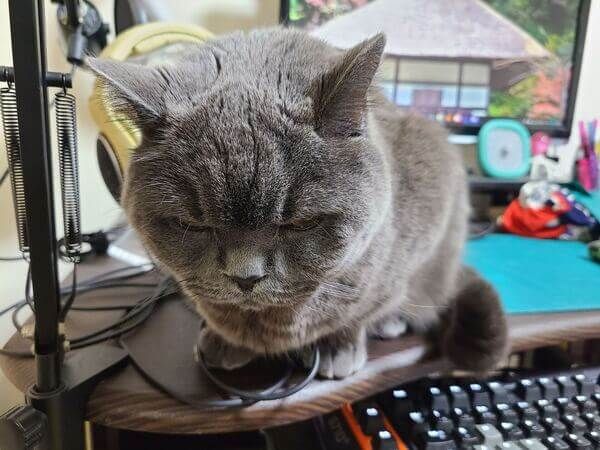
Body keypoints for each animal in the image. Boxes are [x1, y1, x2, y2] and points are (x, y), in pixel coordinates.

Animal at [88, 28, 506, 378]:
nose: (246, 277)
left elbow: (360, 308)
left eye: (301, 223)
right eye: (193, 225)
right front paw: (223, 340)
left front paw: (339, 346)